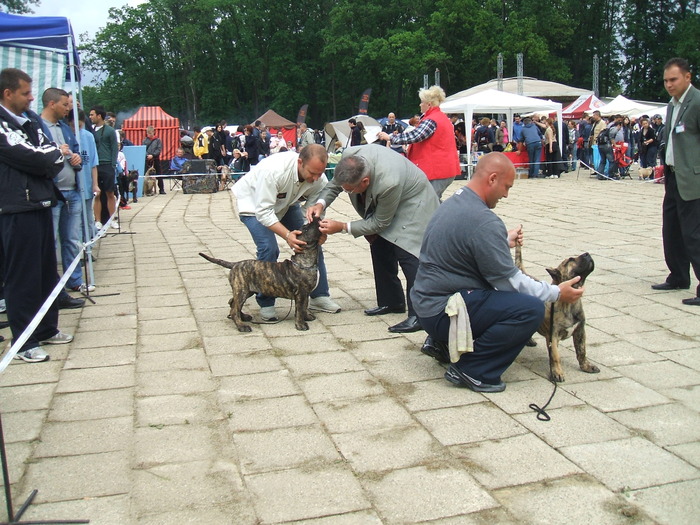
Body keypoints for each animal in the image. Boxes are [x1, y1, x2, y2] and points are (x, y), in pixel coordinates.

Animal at [516, 244, 600, 382]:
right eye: (571, 259)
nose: (587, 253)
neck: (569, 303)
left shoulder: (580, 330)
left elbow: (582, 351)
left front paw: (586, 366)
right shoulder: (553, 335)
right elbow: (555, 356)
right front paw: (557, 373)